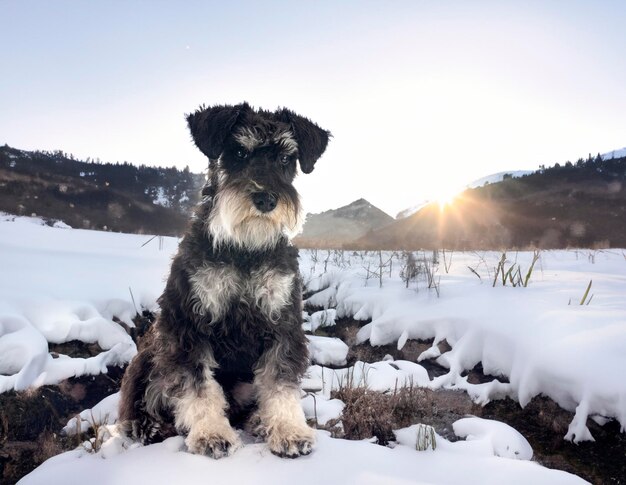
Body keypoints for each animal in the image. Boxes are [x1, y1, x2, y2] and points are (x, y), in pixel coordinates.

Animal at [118, 102, 332, 458]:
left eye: (285, 158)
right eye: (239, 152)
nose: (266, 200)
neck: (245, 250)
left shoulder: (282, 323)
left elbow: (280, 381)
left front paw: (288, 429)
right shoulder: (187, 326)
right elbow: (198, 386)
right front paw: (210, 433)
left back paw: (260, 420)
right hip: (149, 358)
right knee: (145, 398)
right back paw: (146, 425)